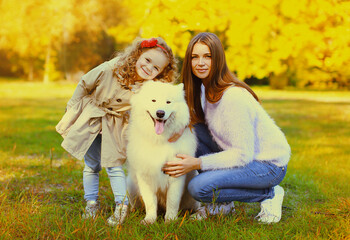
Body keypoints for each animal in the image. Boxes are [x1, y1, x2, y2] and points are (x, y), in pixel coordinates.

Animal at [126, 80, 198, 225]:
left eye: (168, 102)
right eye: (153, 100)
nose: (160, 113)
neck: (159, 140)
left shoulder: (176, 175)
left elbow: (173, 201)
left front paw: (170, 220)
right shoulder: (145, 176)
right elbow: (150, 202)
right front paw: (149, 220)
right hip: (130, 185)